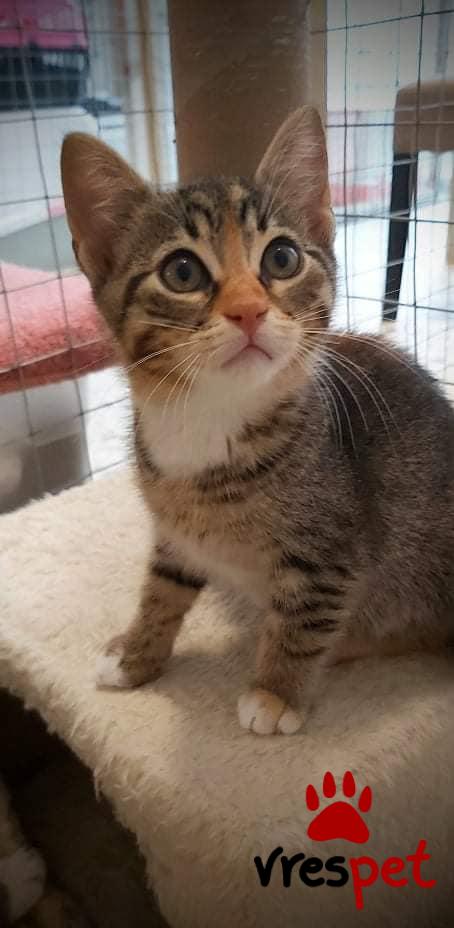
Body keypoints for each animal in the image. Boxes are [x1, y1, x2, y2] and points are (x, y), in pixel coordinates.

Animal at [61, 106, 454, 736]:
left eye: (282, 258)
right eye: (181, 271)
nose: (248, 310)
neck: (210, 417)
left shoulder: (331, 550)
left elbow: (305, 616)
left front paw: (276, 691)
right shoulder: (175, 532)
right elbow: (162, 589)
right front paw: (136, 654)